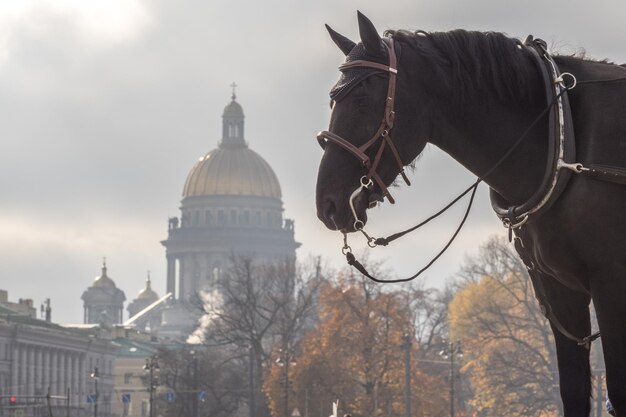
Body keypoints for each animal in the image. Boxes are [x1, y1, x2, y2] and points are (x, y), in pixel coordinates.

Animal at [314, 11, 624, 414]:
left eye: (363, 99)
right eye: (333, 100)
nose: (327, 203)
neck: (561, 136)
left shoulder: (610, 285)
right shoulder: (560, 292)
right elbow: (573, 390)